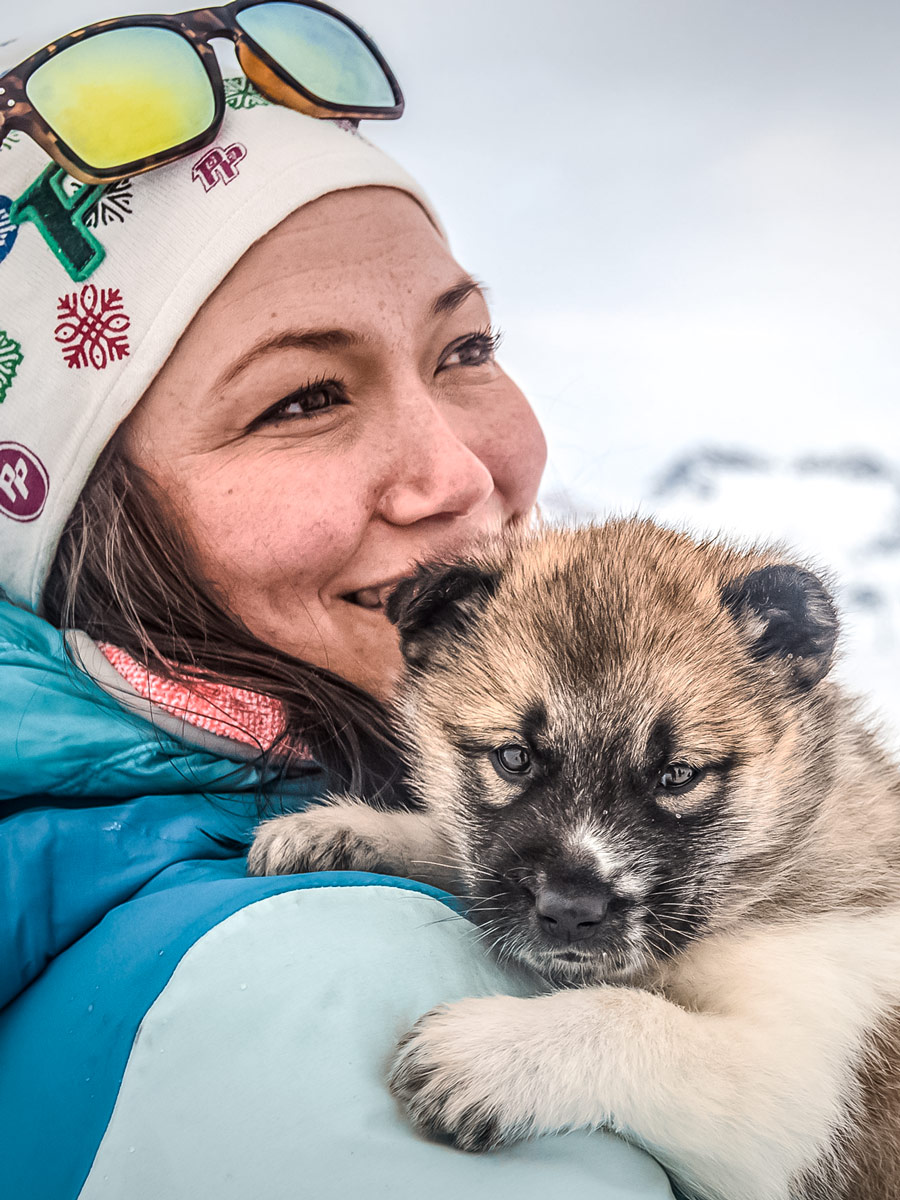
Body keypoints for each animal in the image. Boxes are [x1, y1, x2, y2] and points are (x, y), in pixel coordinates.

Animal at [248, 518, 900, 1200]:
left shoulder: (799, 1089)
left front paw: (489, 1054)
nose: (569, 911)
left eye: (678, 774)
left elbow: (631, 1015)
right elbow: (456, 848)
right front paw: (339, 828)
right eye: (514, 757)